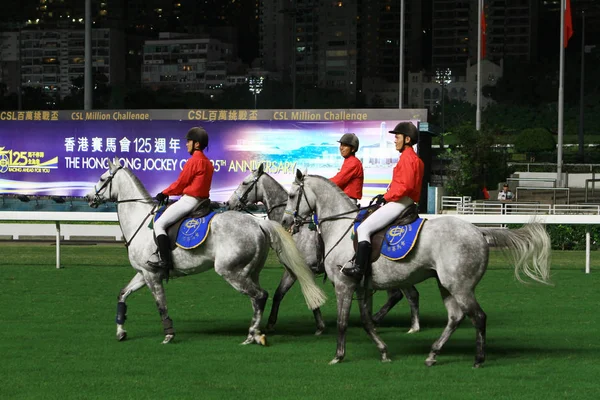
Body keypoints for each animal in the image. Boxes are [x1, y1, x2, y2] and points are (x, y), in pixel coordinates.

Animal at [84, 158, 326, 346]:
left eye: (103, 179)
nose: (88, 198)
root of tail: (259, 223)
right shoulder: (143, 273)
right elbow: (122, 294)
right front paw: (120, 331)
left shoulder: (152, 275)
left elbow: (161, 305)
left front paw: (168, 334)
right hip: (249, 272)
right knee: (257, 298)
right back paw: (255, 331)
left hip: (230, 271)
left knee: (260, 296)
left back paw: (252, 335)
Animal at [226, 162, 422, 334]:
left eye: (244, 183)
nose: (228, 203)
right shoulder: (291, 270)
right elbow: (279, 294)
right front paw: (271, 323)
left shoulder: (303, 270)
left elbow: (311, 296)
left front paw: (320, 326)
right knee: (405, 294)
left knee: (402, 294)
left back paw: (397, 323)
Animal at [282, 170, 552, 368]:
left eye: (293, 195)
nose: (285, 222)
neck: (341, 226)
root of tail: (478, 231)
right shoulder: (362, 287)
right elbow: (367, 322)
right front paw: (383, 351)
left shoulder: (344, 284)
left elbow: (342, 321)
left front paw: (338, 356)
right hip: (446, 285)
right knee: (455, 317)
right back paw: (433, 354)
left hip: (459, 286)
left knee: (478, 316)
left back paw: (478, 359)